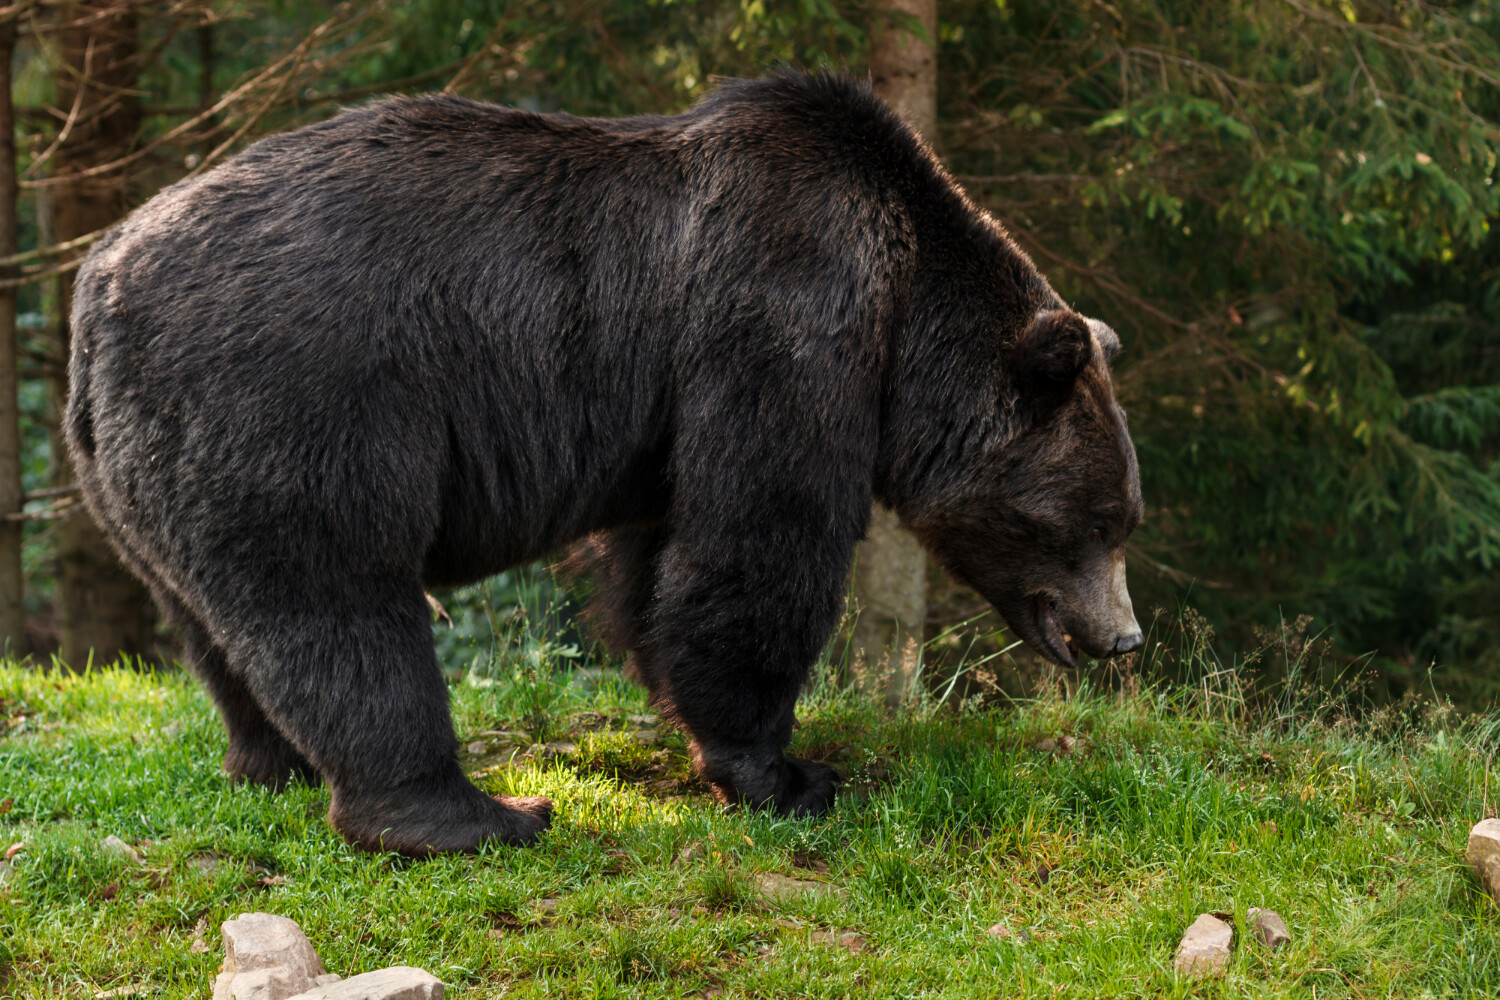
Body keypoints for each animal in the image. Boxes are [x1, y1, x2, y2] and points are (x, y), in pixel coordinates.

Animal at [65, 70, 1143, 856]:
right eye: (1100, 520)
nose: (1124, 637)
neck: (905, 318)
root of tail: (99, 282)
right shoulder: (786, 319)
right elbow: (761, 542)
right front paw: (789, 774)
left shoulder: (670, 415)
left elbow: (663, 561)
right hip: (302, 394)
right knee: (341, 600)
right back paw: (476, 815)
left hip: (142, 462)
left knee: (214, 623)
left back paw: (270, 764)